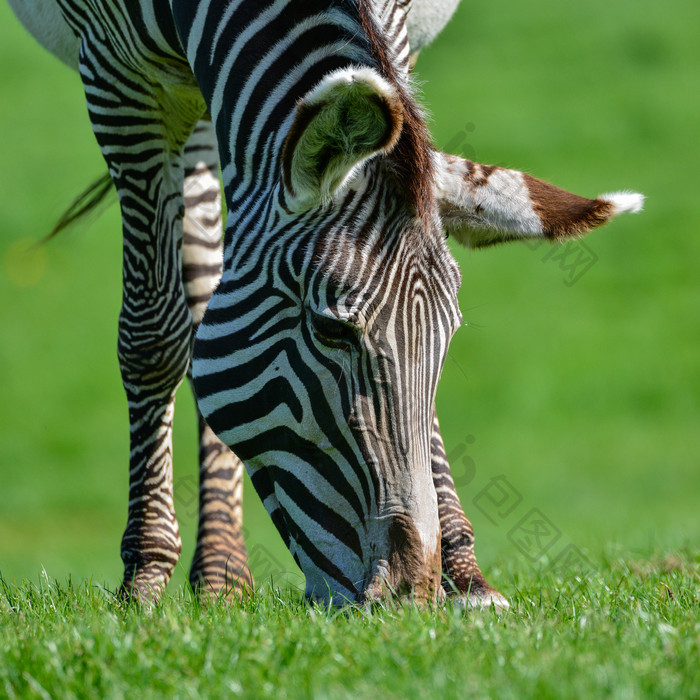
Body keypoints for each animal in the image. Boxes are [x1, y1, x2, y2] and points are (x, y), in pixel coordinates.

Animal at [8, 0, 644, 604]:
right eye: (331, 329)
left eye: (450, 337)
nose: (407, 593)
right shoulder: (118, 78)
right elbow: (153, 336)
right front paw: (143, 573)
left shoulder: (398, 45)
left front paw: (465, 578)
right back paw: (214, 571)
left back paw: (223, 574)